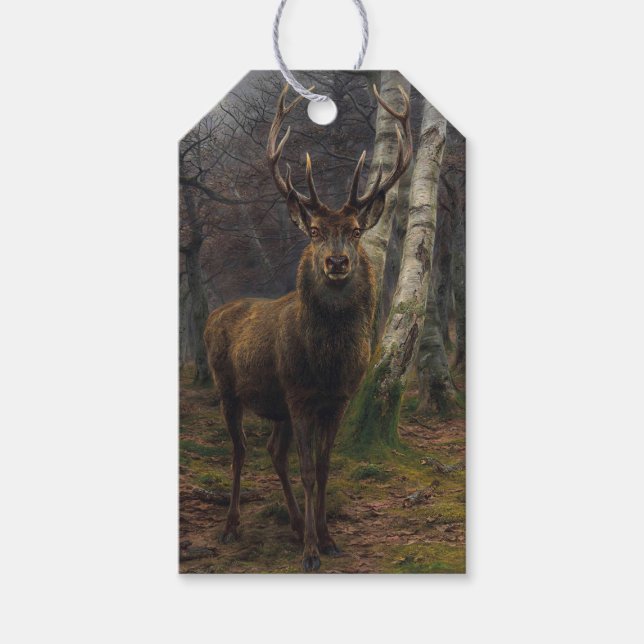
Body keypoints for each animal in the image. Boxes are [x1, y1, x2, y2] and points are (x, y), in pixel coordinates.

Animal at [204, 84, 412, 572]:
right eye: (315, 231)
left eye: (354, 231)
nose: (336, 262)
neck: (327, 365)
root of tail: (214, 315)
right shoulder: (299, 395)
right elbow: (305, 469)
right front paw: (311, 553)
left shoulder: (336, 400)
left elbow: (322, 466)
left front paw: (328, 538)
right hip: (227, 387)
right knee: (241, 450)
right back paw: (231, 526)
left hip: (275, 403)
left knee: (271, 452)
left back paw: (298, 525)